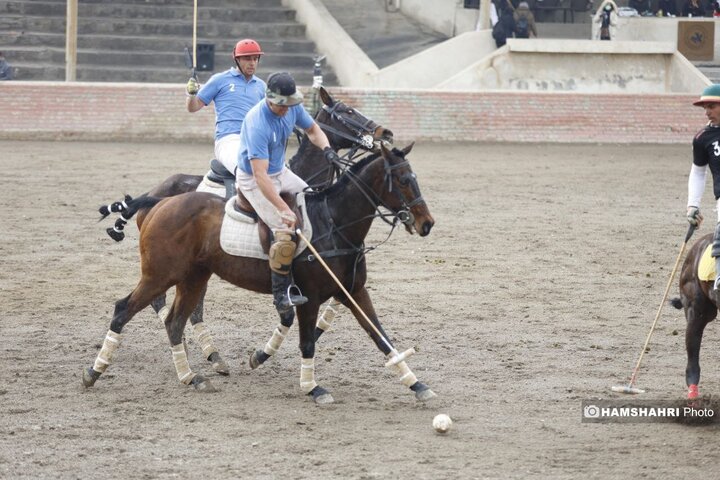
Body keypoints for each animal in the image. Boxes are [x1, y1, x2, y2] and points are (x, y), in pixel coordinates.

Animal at [82, 143, 436, 404]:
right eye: (403, 180)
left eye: (415, 177)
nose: (426, 223)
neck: (335, 224)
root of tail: (158, 201)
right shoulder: (309, 297)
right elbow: (307, 342)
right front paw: (313, 388)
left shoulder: (353, 291)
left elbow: (381, 336)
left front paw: (417, 384)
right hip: (160, 274)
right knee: (124, 309)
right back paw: (94, 372)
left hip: (193, 277)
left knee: (175, 321)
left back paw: (191, 377)